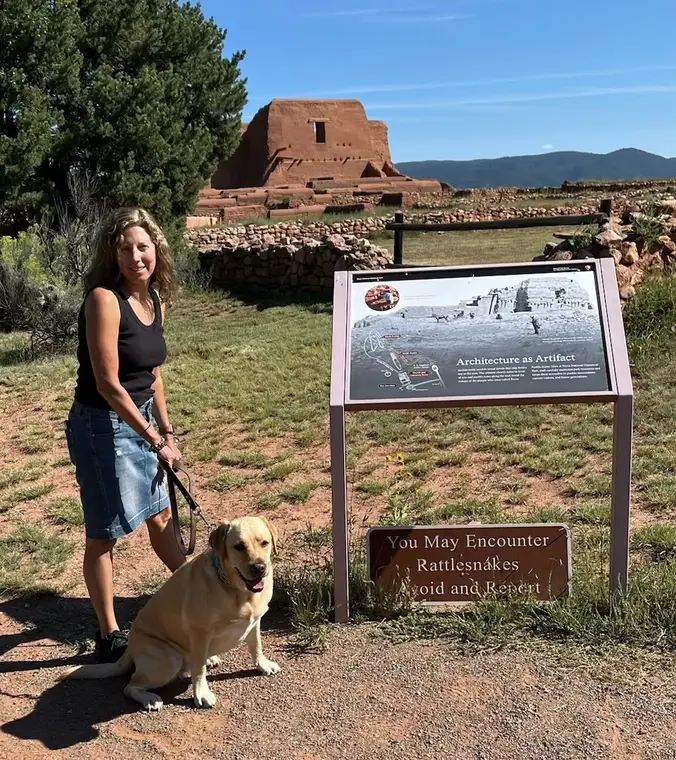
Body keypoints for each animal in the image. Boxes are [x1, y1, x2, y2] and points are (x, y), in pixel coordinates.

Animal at [58, 516, 280, 712]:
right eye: (239, 546)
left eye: (265, 542)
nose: (259, 568)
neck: (237, 591)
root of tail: (130, 648)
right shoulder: (199, 633)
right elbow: (199, 670)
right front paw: (201, 694)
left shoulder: (255, 622)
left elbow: (256, 646)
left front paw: (263, 665)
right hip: (169, 659)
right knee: (130, 686)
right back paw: (149, 698)